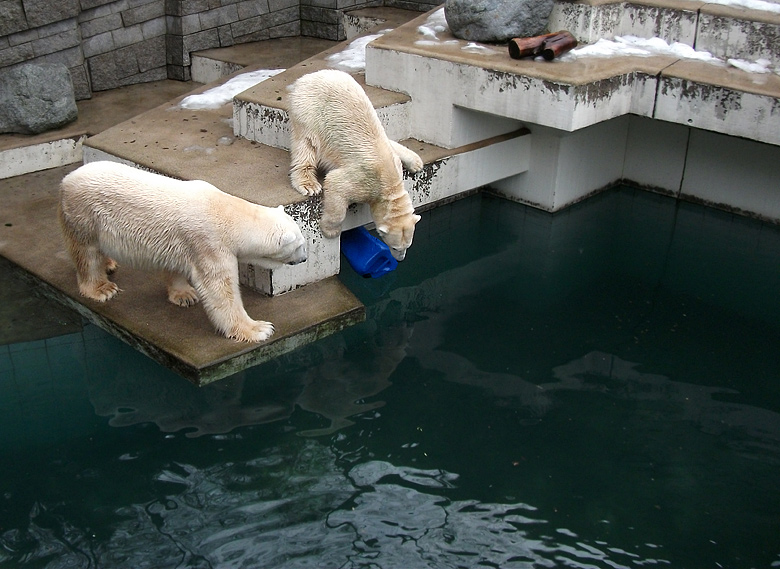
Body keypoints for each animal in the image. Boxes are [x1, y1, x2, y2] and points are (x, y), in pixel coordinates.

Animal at [59, 160, 308, 342]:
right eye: (300, 245)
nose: (305, 258)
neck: (227, 213)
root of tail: (66, 179)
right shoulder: (210, 244)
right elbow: (220, 289)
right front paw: (258, 329)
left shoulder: (180, 243)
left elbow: (174, 264)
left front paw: (185, 295)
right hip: (85, 215)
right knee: (87, 254)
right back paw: (102, 288)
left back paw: (109, 264)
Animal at [286, 69, 424, 262]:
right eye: (395, 247)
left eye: (408, 246)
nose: (400, 259)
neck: (389, 181)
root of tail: (305, 78)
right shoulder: (365, 179)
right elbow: (336, 184)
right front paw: (330, 230)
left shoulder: (390, 156)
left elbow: (393, 145)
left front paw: (416, 163)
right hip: (308, 111)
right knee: (306, 145)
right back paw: (309, 184)